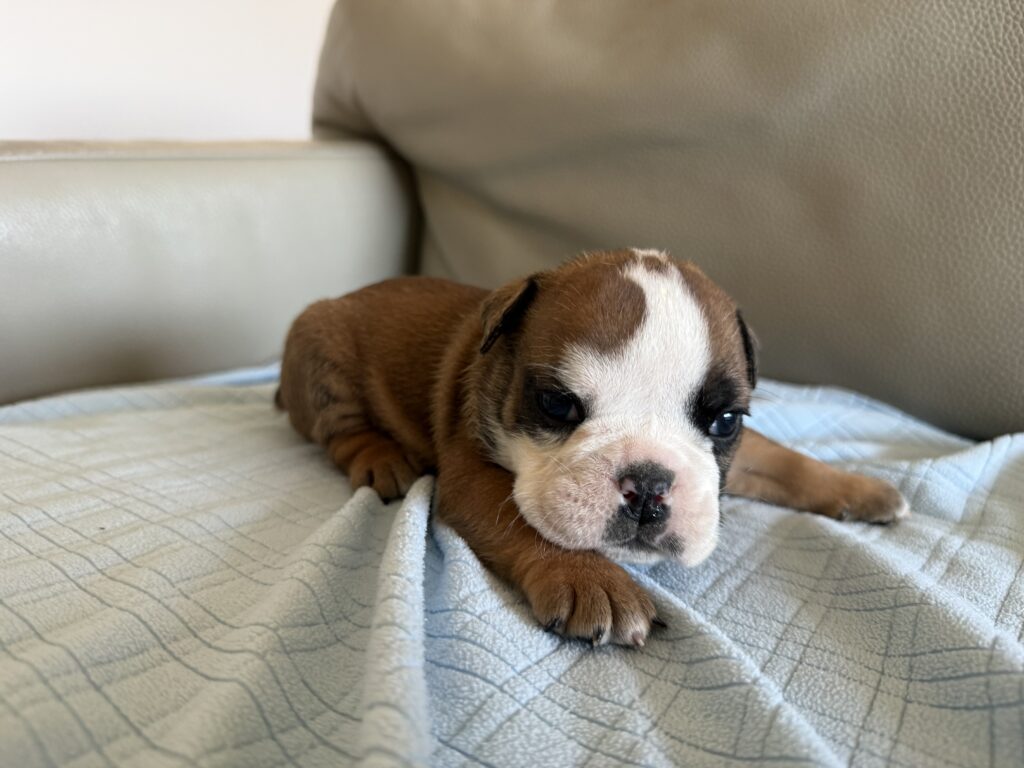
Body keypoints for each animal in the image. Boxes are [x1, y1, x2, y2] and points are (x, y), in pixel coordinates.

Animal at [277, 249, 908, 646]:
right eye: (557, 404)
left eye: (726, 421)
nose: (648, 486)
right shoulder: (471, 476)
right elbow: (524, 523)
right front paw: (590, 578)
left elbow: (783, 458)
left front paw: (860, 488)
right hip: (321, 350)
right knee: (339, 429)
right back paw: (380, 458)